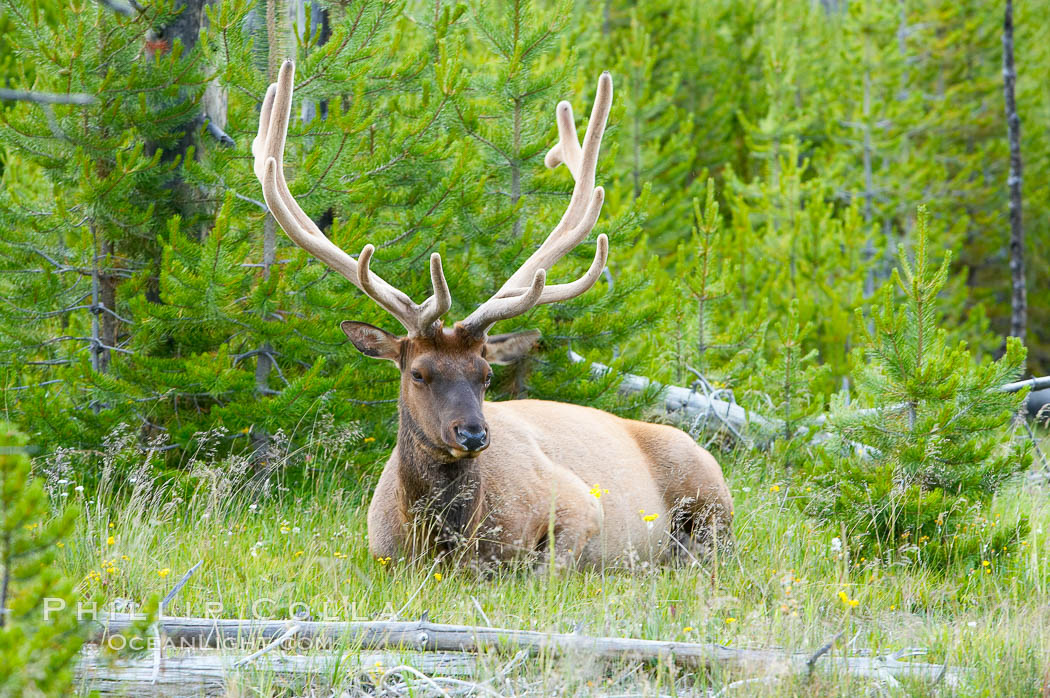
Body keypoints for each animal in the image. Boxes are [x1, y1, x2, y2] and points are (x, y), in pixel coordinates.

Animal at [253, 61, 730, 566]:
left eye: (485, 374)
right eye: (418, 373)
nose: (473, 435)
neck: (442, 544)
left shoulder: (583, 507)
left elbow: (546, 568)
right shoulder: (380, 553)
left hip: (710, 491)